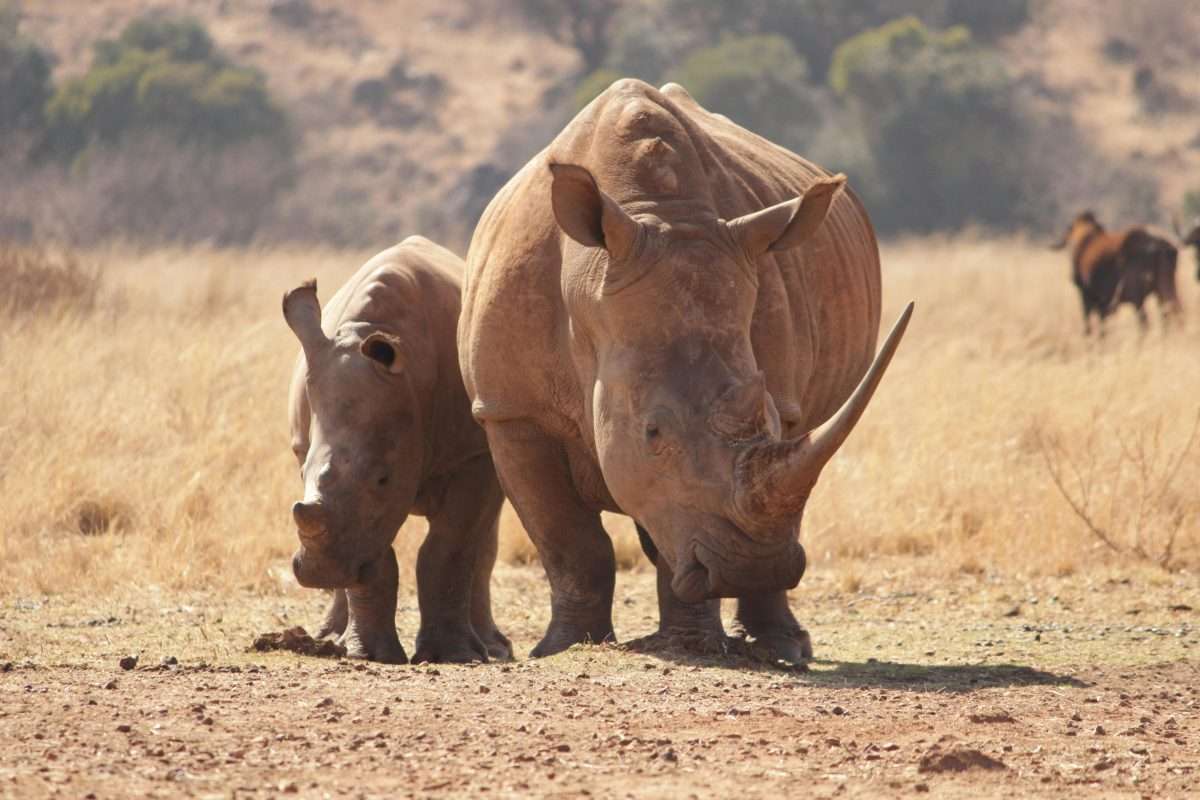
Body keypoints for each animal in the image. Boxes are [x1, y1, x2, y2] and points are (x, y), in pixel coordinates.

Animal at [284, 236, 510, 664]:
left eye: (383, 479)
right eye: (300, 471)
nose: (320, 573)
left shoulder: (473, 454)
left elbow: (449, 547)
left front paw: (454, 655)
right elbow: (373, 551)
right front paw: (369, 655)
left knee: (483, 539)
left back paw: (493, 648)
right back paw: (331, 638)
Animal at [458, 79, 911, 666]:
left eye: (768, 416)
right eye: (653, 431)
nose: (751, 567)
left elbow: (676, 523)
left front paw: (692, 644)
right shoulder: (510, 410)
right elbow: (568, 539)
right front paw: (562, 648)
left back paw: (784, 647)